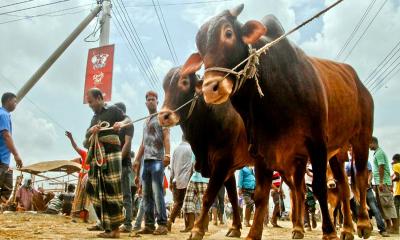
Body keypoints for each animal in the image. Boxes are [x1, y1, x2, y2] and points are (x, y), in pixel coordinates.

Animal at [180, 4, 374, 240]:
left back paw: (362, 224)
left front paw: (328, 232)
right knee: (343, 187)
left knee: (360, 179)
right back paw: (346, 228)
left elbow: (319, 187)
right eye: (200, 48)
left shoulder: (317, 143)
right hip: (336, 153)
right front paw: (253, 234)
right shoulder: (261, 150)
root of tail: (358, 83)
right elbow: (261, 195)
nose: (210, 88)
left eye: (228, 33)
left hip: (361, 137)